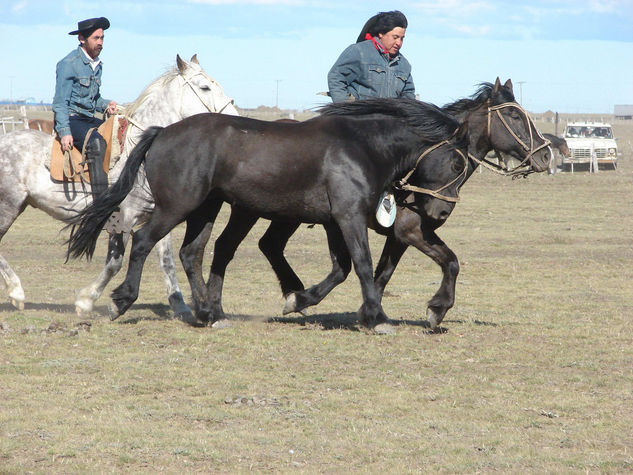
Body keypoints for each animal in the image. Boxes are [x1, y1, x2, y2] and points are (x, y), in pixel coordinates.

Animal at [66, 98, 470, 330]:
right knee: (142, 242)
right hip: (178, 205)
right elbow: (363, 264)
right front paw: (378, 317)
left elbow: (343, 267)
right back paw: (122, 301)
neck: (361, 147)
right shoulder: (349, 217)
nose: (441, 211)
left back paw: (210, 314)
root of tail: (164, 131)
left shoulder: (336, 221)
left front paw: (300, 299)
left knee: (191, 253)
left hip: (205, 209)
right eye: (456, 163)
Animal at [189, 78, 552, 330]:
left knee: (268, 245)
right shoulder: (405, 230)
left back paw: (291, 294)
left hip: (285, 214)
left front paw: (373, 311)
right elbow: (442, 262)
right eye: (513, 117)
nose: (546, 154)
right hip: (255, 210)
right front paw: (430, 309)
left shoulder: (396, 236)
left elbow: (390, 272)